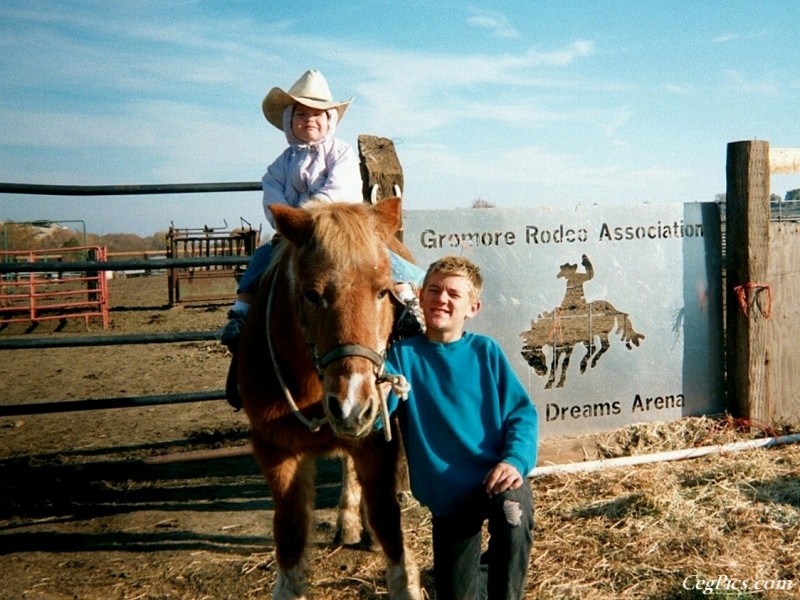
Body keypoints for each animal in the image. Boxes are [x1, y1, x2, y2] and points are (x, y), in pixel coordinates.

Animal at [238, 199, 422, 596]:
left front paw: (406, 583)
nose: (352, 405)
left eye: (383, 292)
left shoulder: (376, 440)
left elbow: (387, 519)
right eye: (311, 293)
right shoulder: (275, 450)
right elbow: (290, 532)